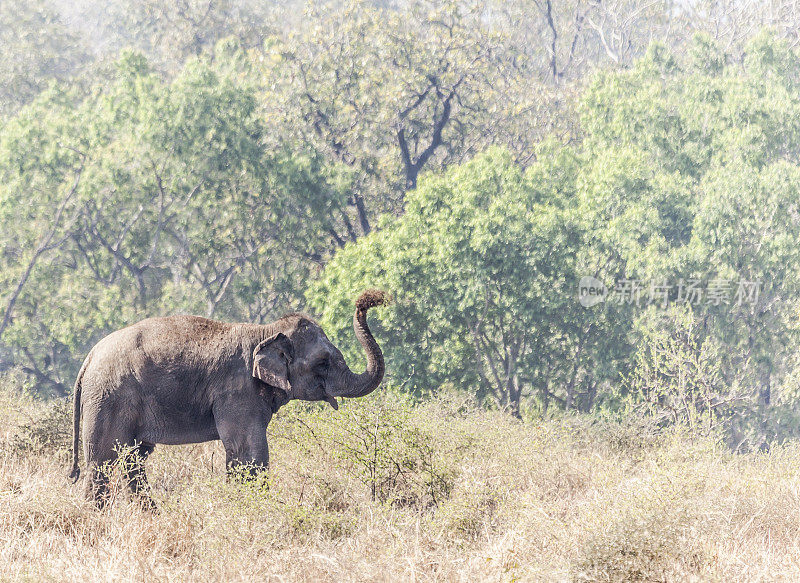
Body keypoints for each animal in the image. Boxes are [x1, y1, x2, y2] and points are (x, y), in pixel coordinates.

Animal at [67, 290, 386, 504]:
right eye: (323, 362)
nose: (368, 300)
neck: (266, 331)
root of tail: (89, 358)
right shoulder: (237, 390)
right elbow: (250, 453)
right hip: (109, 397)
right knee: (103, 460)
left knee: (134, 458)